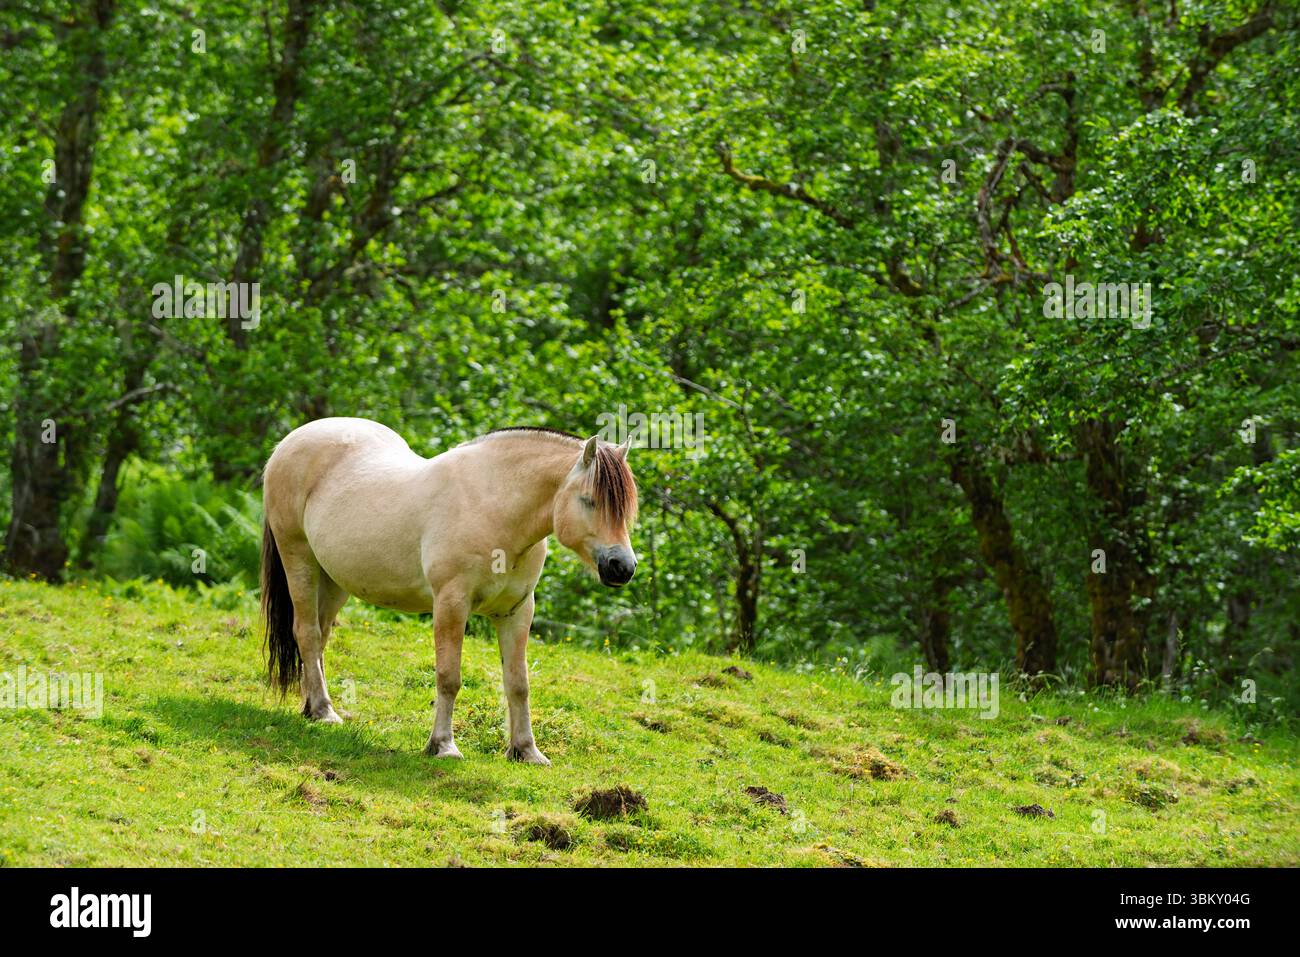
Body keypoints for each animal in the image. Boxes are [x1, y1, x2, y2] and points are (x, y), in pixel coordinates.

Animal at [259, 417, 638, 765]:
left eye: (625, 509)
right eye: (589, 500)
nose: (623, 567)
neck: (494, 507)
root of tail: (291, 440)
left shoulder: (516, 612)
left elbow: (518, 683)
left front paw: (526, 751)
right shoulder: (451, 604)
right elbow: (448, 677)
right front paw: (442, 745)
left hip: (334, 579)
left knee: (320, 638)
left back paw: (312, 707)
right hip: (299, 559)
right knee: (306, 632)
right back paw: (324, 711)